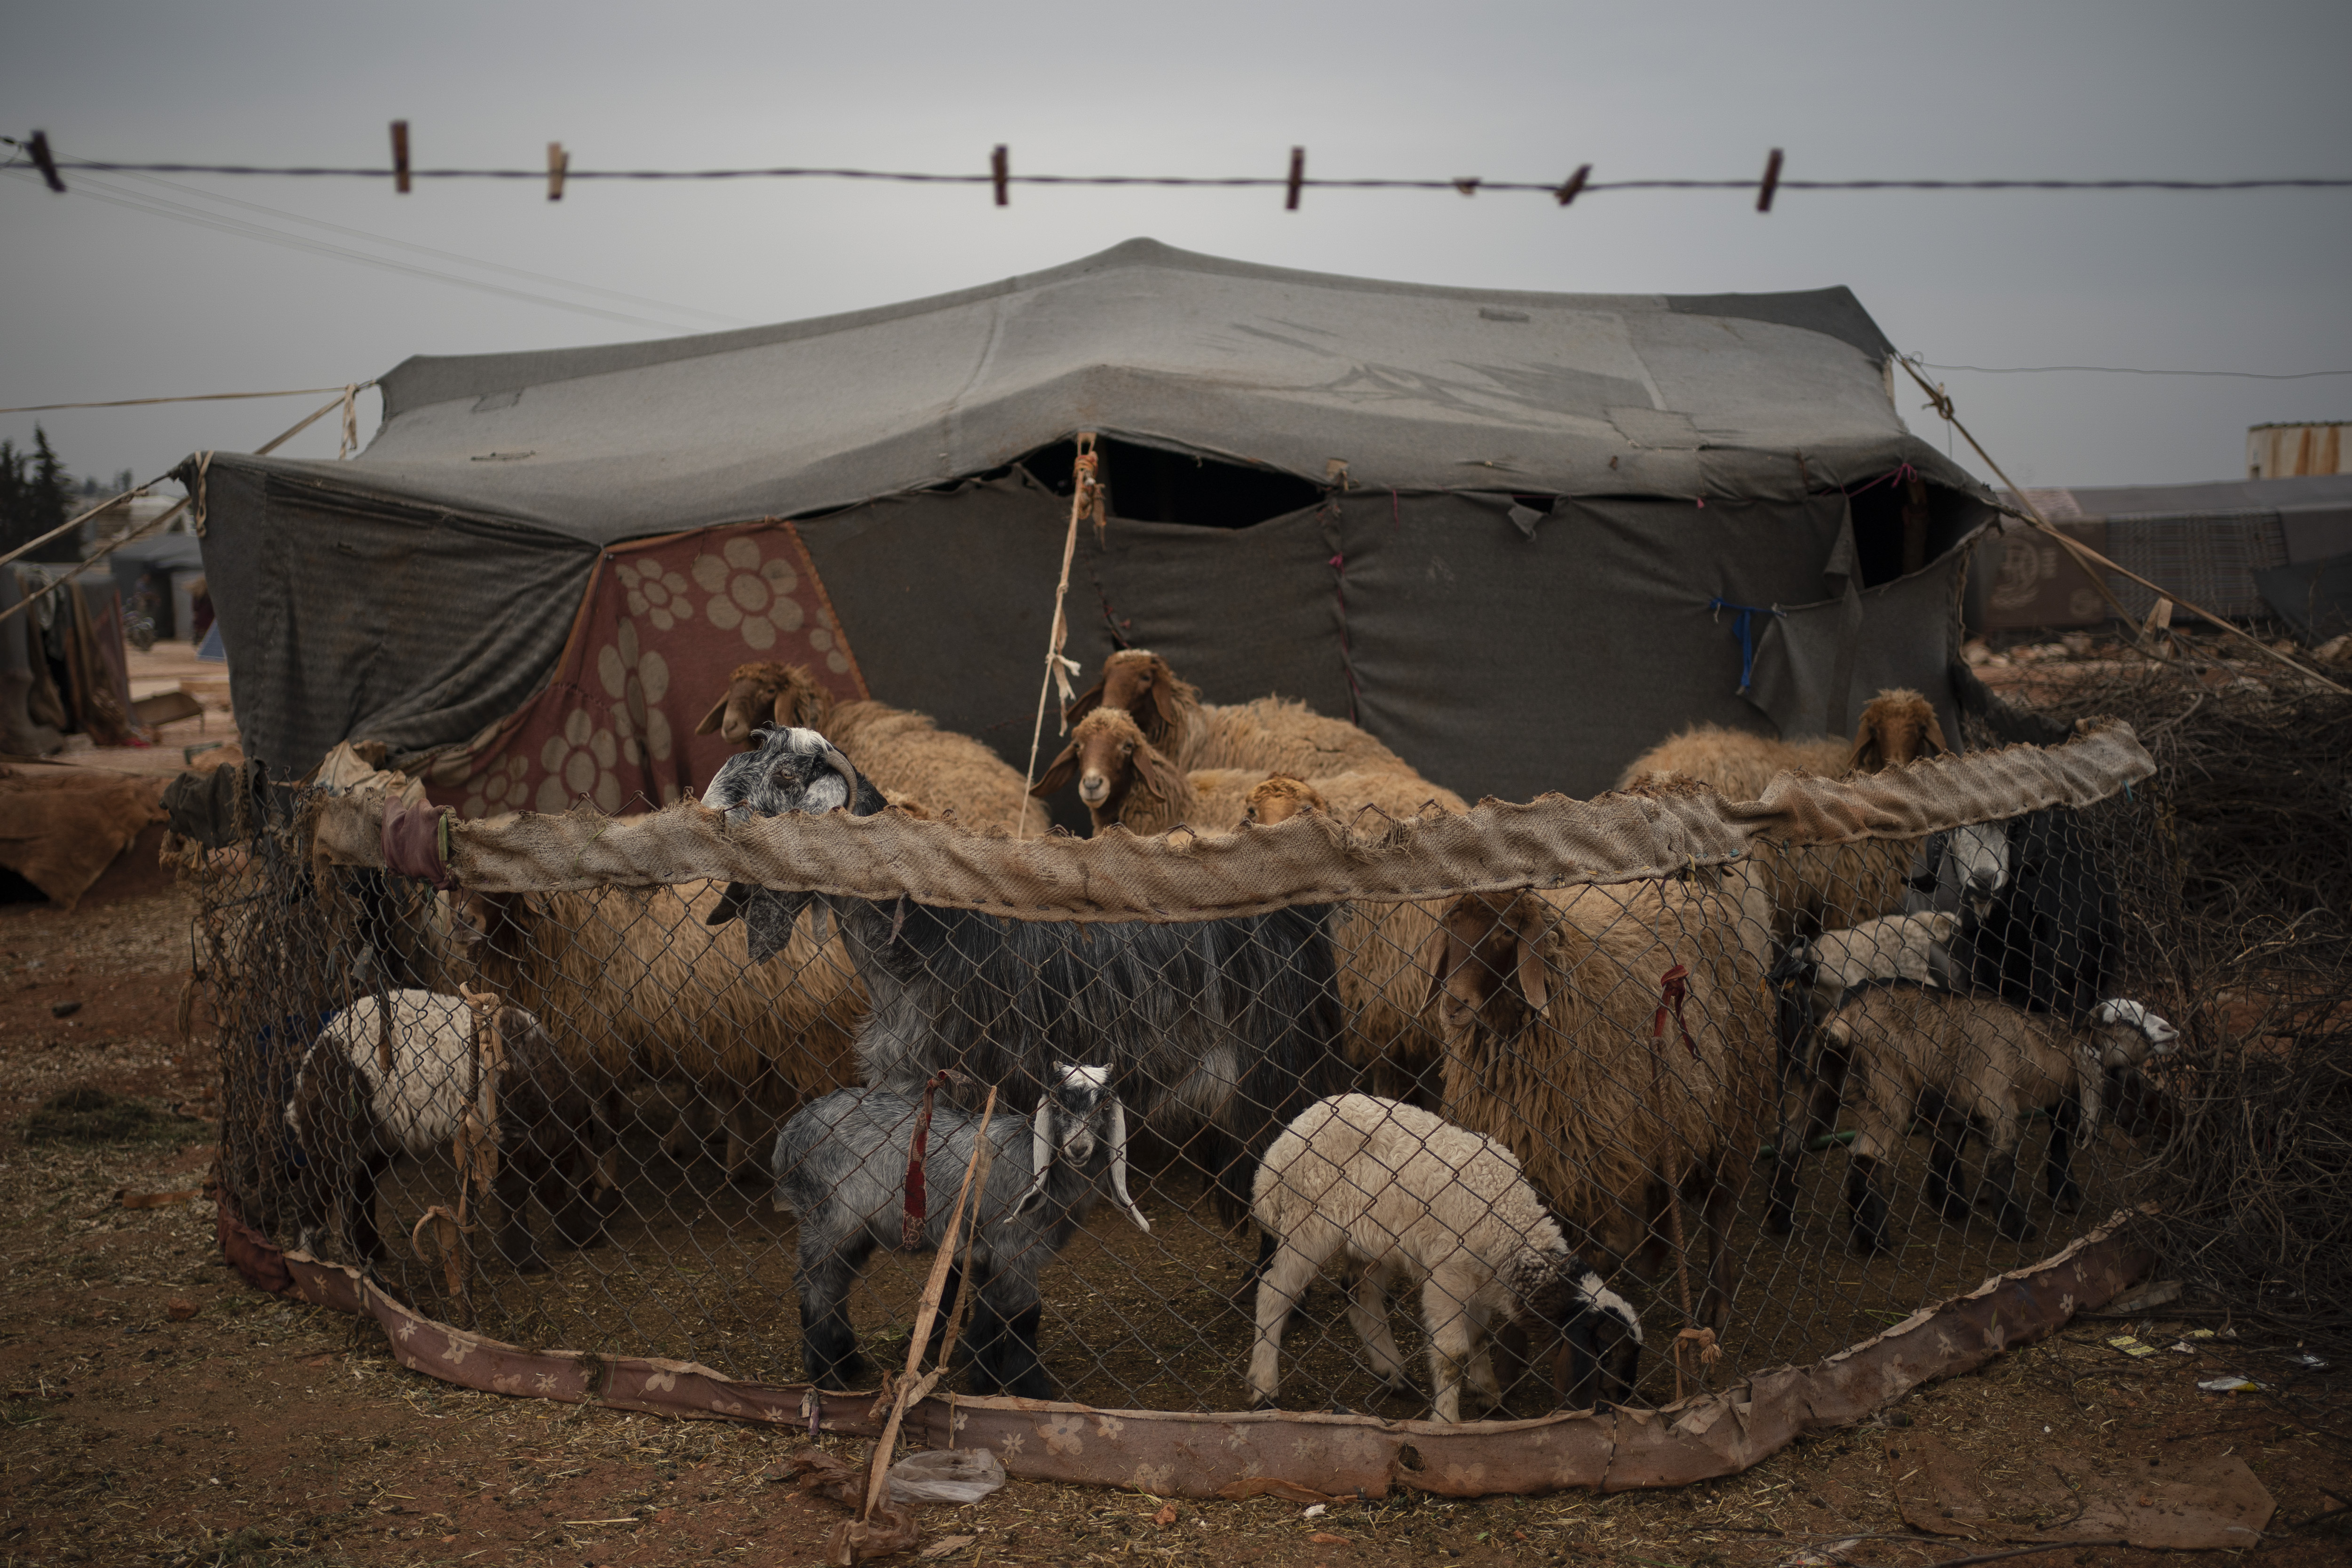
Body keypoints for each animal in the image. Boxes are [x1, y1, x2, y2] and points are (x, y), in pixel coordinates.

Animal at [771, 1062, 1148, 1401]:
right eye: (1056, 1104)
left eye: (1104, 1105)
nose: (1078, 1149)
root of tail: (788, 1136)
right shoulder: (1013, 1245)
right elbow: (1026, 1314)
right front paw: (1030, 1387)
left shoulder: (987, 1249)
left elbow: (990, 1307)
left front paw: (984, 1374)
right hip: (830, 1217)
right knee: (817, 1284)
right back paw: (826, 1375)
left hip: (856, 1228)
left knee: (837, 1284)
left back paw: (848, 1362)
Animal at [1251, 1090, 1637, 1420]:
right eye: (1606, 1352)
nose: (1625, 1399)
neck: (1510, 1228)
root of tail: (1280, 1148)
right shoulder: (1447, 1276)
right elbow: (1453, 1355)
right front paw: (1447, 1419)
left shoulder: (1479, 1282)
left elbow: (1479, 1336)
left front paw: (1488, 1393)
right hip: (1308, 1222)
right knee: (1274, 1291)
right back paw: (1264, 1389)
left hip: (1370, 1239)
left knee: (1361, 1296)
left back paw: (1394, 1374)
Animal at [1411, 869, 1769, 1382]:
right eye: (1450, 926)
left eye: (1505, 932)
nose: (1453, 1006)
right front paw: (1509, 1367)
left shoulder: (1582, 1173)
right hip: (1663, 1113)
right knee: (1665, 1186)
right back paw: (1652, 1259)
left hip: (1733, 1100)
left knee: (1720, 1203)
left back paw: (1716, 1304)